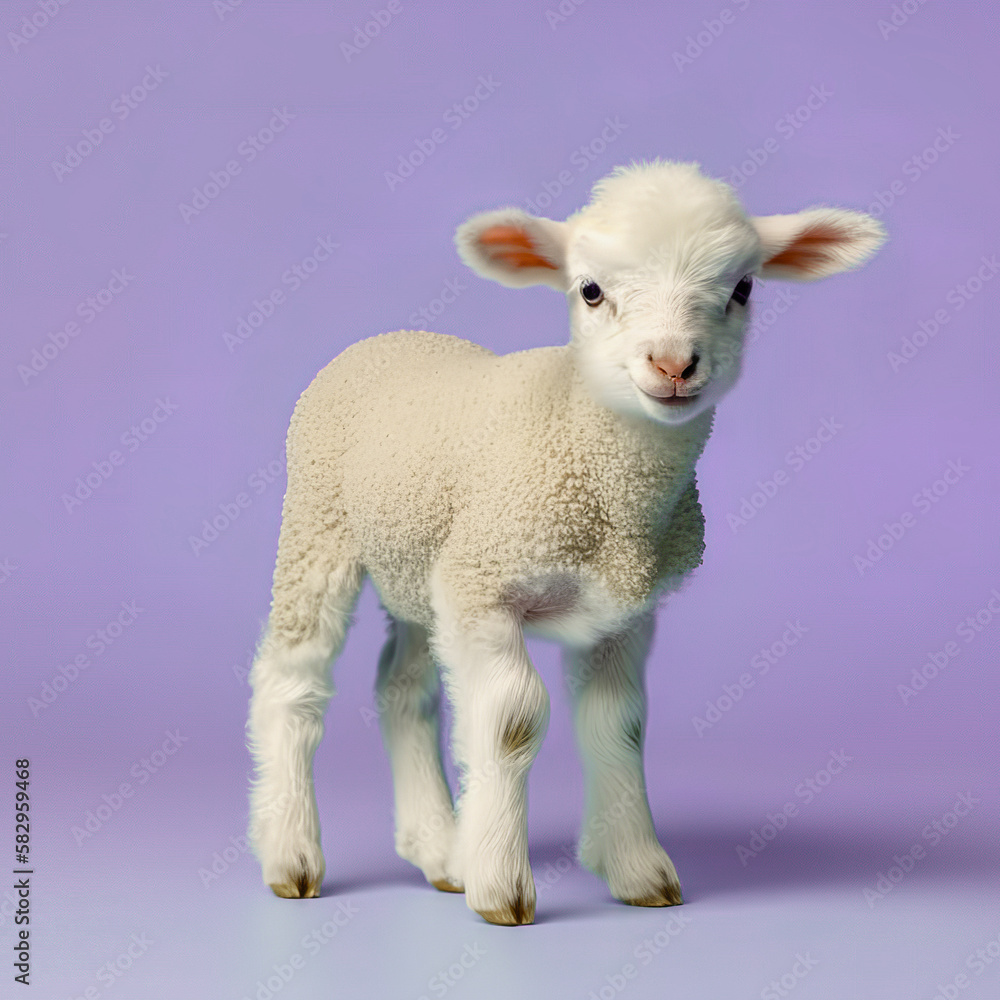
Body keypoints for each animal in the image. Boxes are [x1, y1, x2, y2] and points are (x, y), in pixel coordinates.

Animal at [245, 159, 885, 925]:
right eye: (591, 290)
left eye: (743, 288)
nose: (673, 364)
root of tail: (388, 337)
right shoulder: (487, 587)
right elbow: (511, 722)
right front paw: (501, 885)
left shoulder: (620, 614)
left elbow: (620, 725)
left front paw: (638, 870)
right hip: (319, 527)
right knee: (293, 679)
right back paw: (292, 855)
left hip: (422, 563)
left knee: (403, 688)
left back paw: (439, 851)